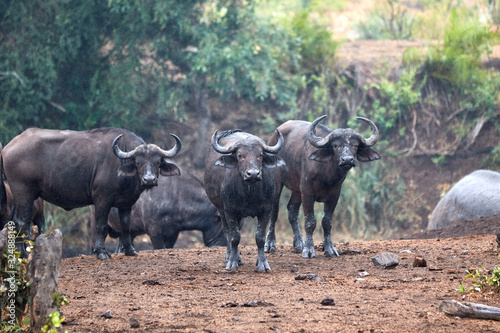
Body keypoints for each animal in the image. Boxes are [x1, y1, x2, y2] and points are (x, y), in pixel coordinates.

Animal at [0, 126, 180, 258]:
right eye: (138, 162)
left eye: (157, 161)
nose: (149, 179)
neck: (120, 164)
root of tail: (8, 147)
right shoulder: (102, 200)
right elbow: (101, 226)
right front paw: (101, 252)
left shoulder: (126, 203)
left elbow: (126, 225)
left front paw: (130, 251)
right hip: (24, 194)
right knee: (21, 222)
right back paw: (23, 254)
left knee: (16, 222)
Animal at [92, 165, 227, 250]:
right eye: (224, 226)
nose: (223, 246)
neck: (178, 195)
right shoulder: (154, 231)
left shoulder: (172, 233)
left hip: (128, 231)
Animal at [204, 128, 286, 272]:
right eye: (240, 155)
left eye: (260, 155)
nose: (253, 174)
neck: (249, 193)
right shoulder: (229, 210)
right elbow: (234, 237)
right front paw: (232, 262)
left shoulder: (266, 210)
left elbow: (260, 237)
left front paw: (262, 263)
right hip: (221, 209)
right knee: (227, 232)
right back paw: (231, 257)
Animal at [266, 115, 378, 258]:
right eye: (335, 145)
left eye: (355, 145)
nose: (347, 160)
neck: (327, 174)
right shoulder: (307, 192)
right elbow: (310, 221)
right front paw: (309, 250)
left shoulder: (334, 195)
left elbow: (327, 222)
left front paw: (329, 248)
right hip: (278, 183)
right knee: (274, 212)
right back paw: (270, 244)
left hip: (297, 189)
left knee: (292, 211)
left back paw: (299, 244)